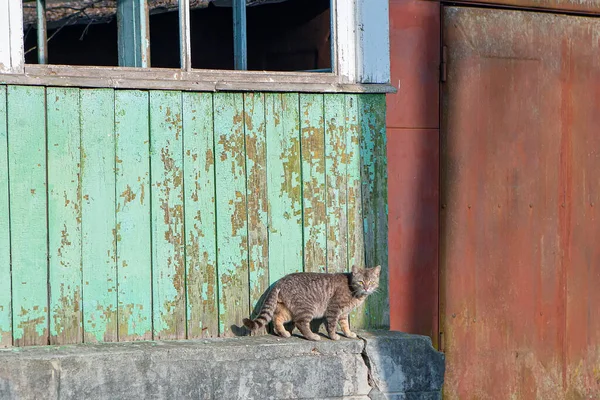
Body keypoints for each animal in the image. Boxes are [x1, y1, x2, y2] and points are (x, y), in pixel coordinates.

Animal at [243, 266, 380, 340]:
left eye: (372, 282)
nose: (367, 288)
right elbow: (332, 326)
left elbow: (345, 325)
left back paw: (284, 333)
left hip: (288, 310)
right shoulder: (334, 309)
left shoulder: (343, 314)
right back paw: (312, 336)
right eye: (361, 282)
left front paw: (349, 334)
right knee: (301, 324)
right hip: (307, 308)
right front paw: (333, 336)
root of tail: (280, 281)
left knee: (277, 319)